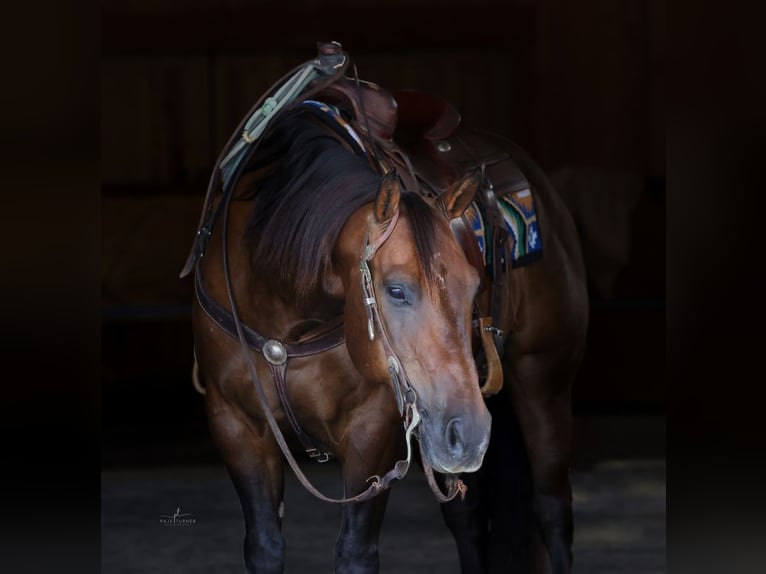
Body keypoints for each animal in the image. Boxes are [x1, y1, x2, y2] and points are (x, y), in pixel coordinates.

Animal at [181, 42, 588, 574]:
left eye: (473, 285)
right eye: (396, 291)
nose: (473, 432)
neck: (284, 308)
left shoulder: (374, 427)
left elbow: (356, 551)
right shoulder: (235, 424)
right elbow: (264, 546)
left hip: (542, 379)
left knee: (552, 509)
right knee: (468, 521)